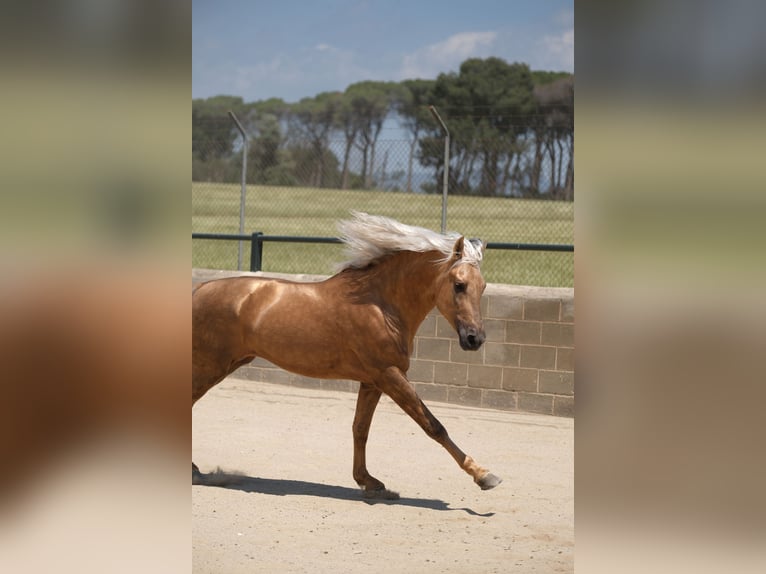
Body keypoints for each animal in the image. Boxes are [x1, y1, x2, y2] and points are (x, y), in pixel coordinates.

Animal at [195, 214, 500, 498]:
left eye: (483, 286)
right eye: (459, 285)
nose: (475, 339)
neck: (380, 306)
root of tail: (197, 292)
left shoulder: (373, 381)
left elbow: (360, 429)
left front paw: (368, 482)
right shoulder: (390, 374)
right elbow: (433, 425)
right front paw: (484, 475)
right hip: (210, 366)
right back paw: (195, 471)